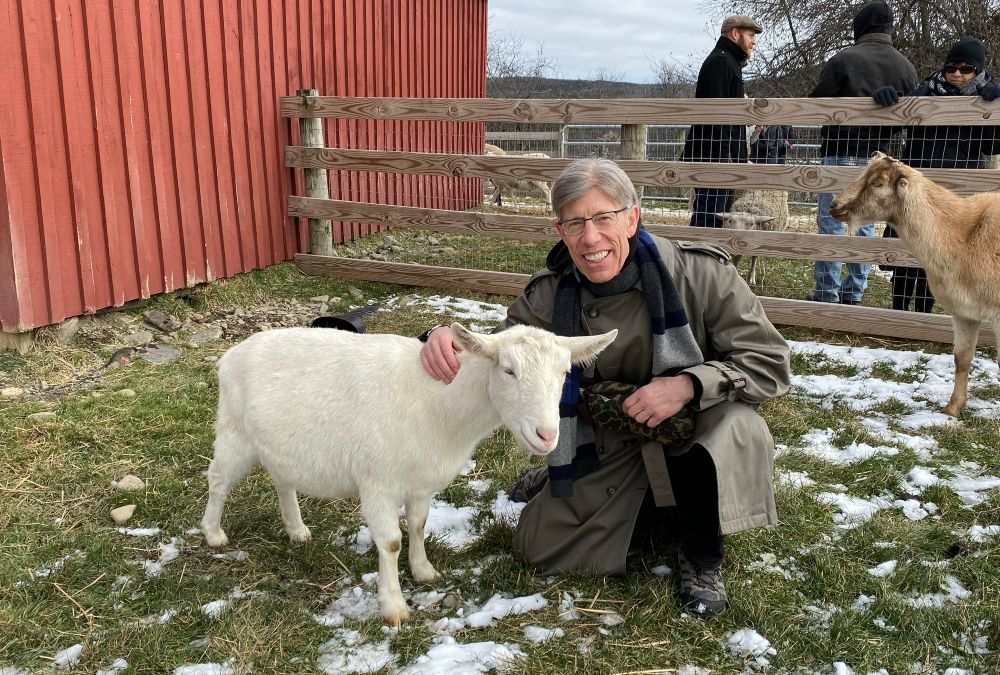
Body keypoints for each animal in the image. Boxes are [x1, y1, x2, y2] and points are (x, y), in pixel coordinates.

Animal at [199, 324, 612, 624]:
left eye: (564, 373)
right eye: (509, 371)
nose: (546, 435)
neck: (443, 405)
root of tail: (231, 355)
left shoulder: (420, 482)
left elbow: (418, 525)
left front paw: (424, 571)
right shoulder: (377, 482)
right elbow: (391, 542)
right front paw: (394, 607)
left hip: (279, 444)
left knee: (282, 479)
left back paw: (296, 530)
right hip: (234, 432)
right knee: (218, 481)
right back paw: (214, 534)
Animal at [828, 152, 1000, 418]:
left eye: (878, 183)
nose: (834, 206)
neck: (963, 234)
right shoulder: (965, 313)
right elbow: (962, 358)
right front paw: (952, 409)